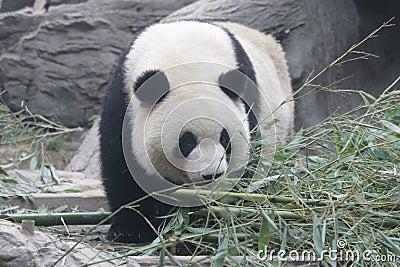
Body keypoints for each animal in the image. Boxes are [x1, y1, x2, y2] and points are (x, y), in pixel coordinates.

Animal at [99, 19, 294, 244]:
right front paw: (130, 229)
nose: (212, 175)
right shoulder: (122, 99)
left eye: (224, 138)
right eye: (187, 142)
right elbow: (121, 166)